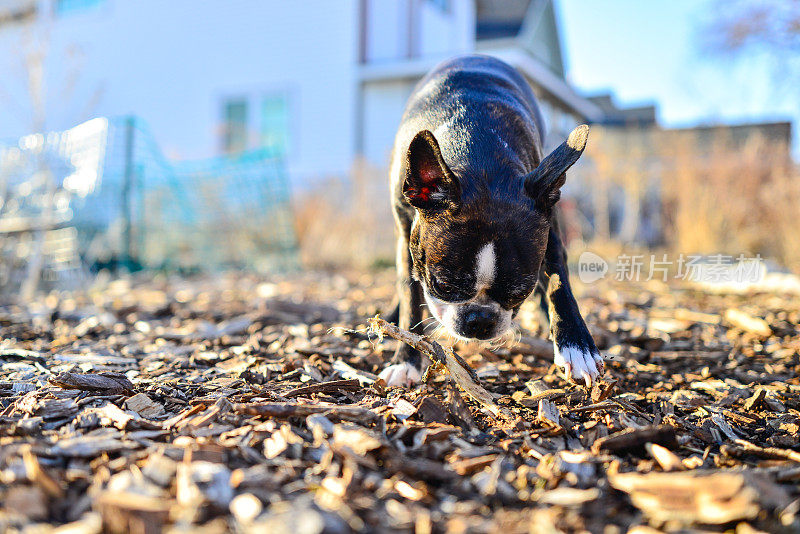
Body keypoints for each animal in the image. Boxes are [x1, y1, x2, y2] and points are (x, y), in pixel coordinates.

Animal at [380, 55, 600, 390]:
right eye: (443, 286)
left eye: (519, 293)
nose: (480, 320)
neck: (478, 154)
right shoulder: (407, 235)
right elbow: (411, 293)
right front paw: (406, 358)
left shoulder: (550, 231)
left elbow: (558, 285)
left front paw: (576, 346)